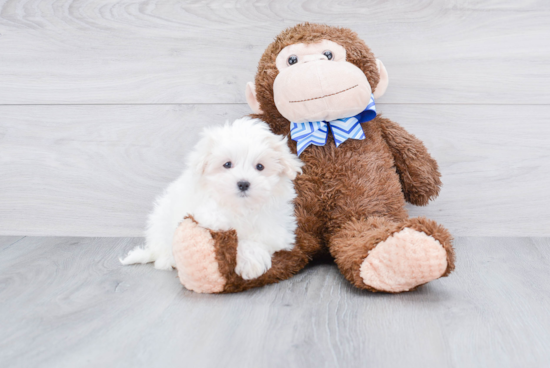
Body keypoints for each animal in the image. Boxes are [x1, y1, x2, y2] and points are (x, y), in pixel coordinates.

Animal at [121, 116, 304, 280]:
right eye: (227, 164)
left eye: (260, 167)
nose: (243, 184)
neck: (241, 208)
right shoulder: (207, 218)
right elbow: (234, 238)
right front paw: (250, 263)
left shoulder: (275, 229)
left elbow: (263, 239)